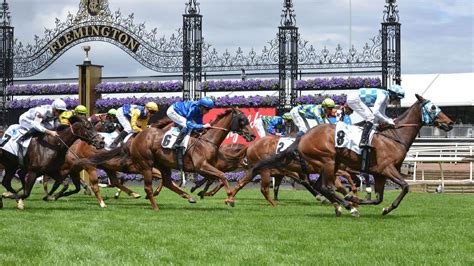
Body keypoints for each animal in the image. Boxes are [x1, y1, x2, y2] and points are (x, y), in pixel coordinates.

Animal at [128, 108, 256, 210]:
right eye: (242, 120)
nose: (253, 135)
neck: (207, 140)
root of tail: (138, 136)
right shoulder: (201, 166)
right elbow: (222, 176)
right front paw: (229, 199)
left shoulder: (210, 166)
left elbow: (216, 177)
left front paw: (200, 191)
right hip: (146, 164)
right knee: (148, 188)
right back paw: (155, 207)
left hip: (163, 164)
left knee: (167, 182)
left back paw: (189, 197)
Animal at [246, 95, 454, 216]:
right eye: (433, 107)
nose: (450, 123)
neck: (394, 136)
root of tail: (304, 136)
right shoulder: (387, 168)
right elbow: (404, 187)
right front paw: (381, 207)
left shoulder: (378, 173)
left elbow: (377, 198)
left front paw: (360, 200)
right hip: (327, 161)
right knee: (325, 187)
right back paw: (348, 207)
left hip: (327, 165)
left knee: (319, 186)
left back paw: (342, 204)